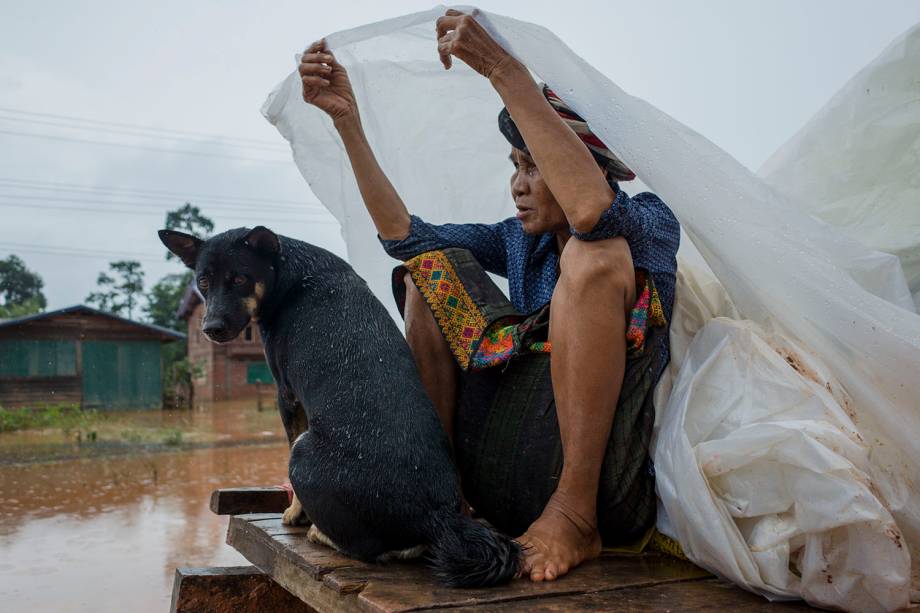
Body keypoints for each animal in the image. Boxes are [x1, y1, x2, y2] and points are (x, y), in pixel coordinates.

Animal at [158, 225, 516, 584]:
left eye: (240, 279)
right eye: (203, 283)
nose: (211, 329)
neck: (287, 273)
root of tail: (438, 516)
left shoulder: (287, 395)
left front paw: (295, 514)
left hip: (304, 452)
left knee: (367, 548)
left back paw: (320, 533)